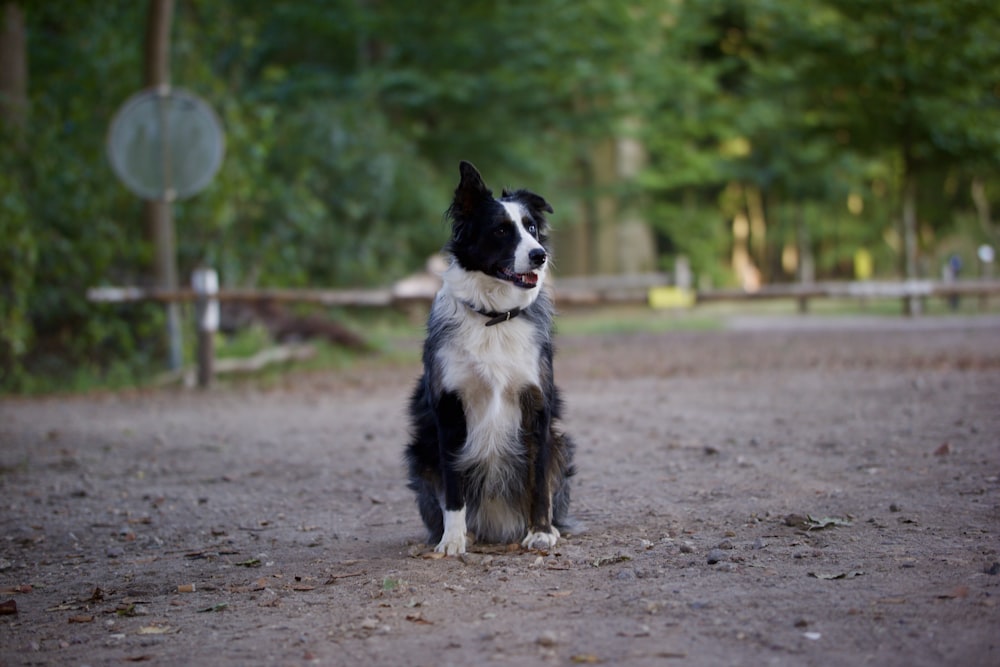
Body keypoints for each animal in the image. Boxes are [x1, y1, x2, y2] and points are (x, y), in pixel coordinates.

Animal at [406, 160, 576, 552]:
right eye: (501, 230)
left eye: (531, 228)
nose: (539, 256)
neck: (494, 317)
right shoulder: (449, 408)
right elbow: (454, 484)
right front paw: (452, 539)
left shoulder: (536, 404)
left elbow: (538, 479)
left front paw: (541, 531)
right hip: (420, 452)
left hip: (563, 443)